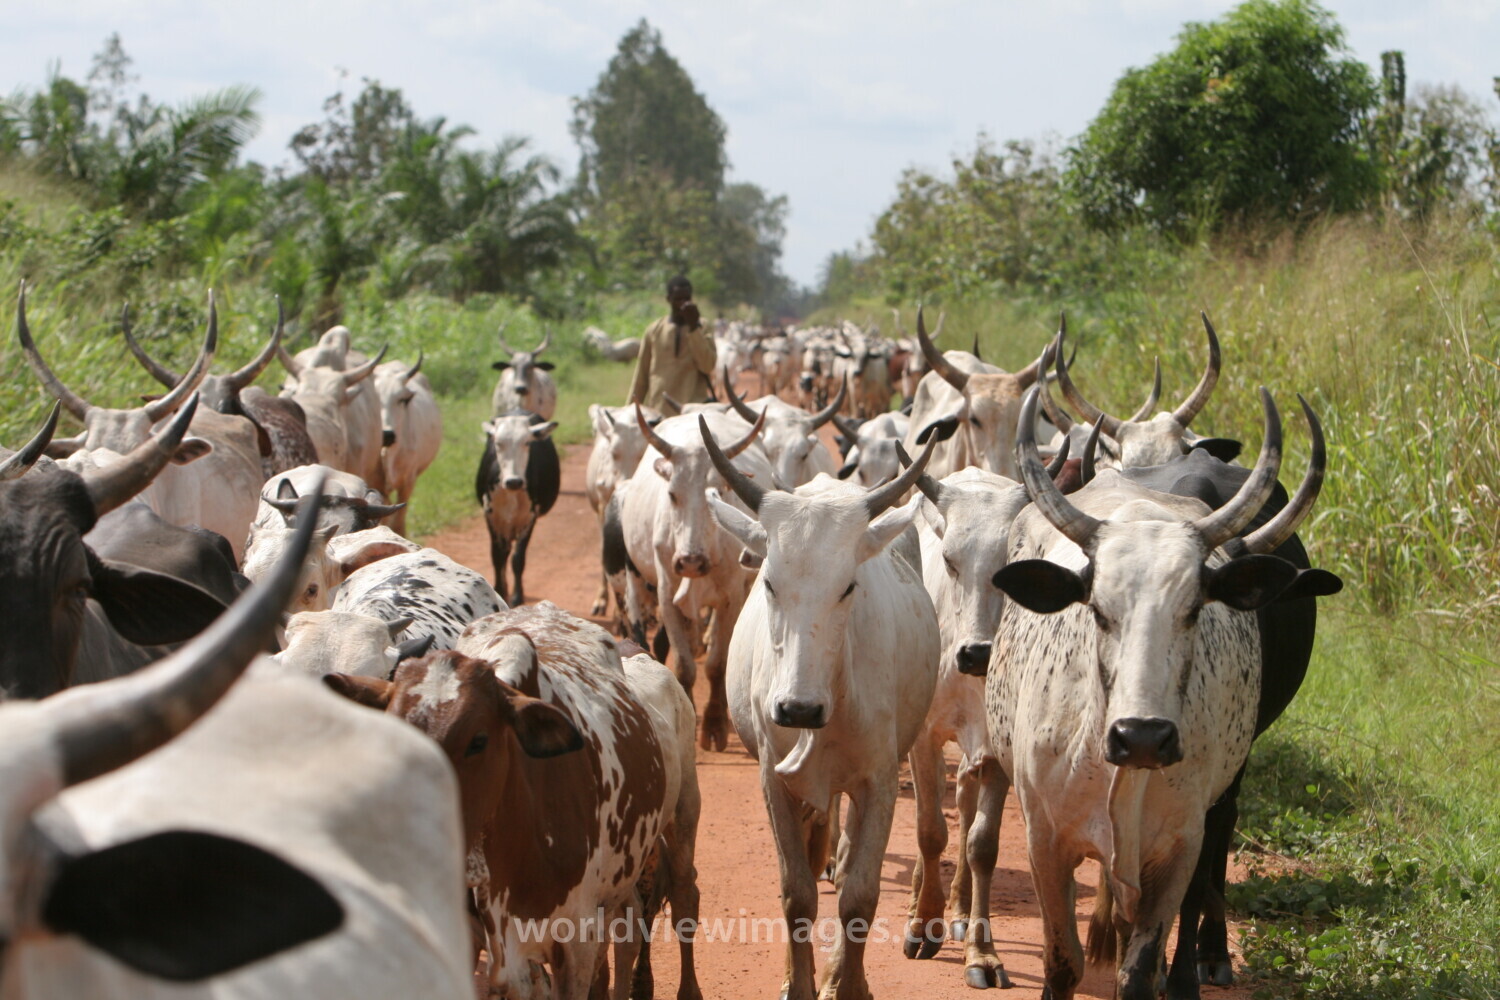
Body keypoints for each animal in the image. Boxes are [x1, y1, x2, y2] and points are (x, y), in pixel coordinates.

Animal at [476, 410, 560, 606]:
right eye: (498, 443)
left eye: (527, 442)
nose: (514, 481)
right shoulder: (490, 516)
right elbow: (497, 557)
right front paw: (500, 589)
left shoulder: (530, 518)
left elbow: (518, 559)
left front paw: (516, 596)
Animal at [619, 407, 771, 751]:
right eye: (672, 495)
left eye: (719, 494)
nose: (690, 561)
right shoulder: (666, 593)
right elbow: (685, 665)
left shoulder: (731, 598)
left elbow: (716, 663)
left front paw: (714, 725)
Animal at [702, 414, 953, 1000]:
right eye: (770, 582)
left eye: (848, 587)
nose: (797, 710)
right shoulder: (772, 780)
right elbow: (796, 893)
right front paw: (798, 982)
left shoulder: (879, 783)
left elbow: (859, 895)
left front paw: (845, 984)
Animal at [984, 386, 1328, 1000]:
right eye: (1098, 610)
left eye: (1194, 610)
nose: (1142, 737)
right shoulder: (1045, 841)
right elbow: (1061, 961)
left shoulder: (1178, 846)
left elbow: (1141, 966)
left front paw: (1170, 972)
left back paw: (1202, 964)